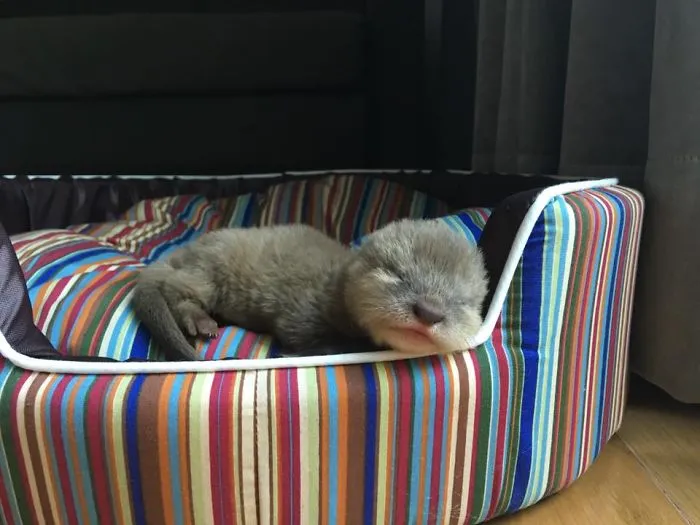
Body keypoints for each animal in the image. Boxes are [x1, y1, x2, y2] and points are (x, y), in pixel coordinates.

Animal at [131, 219, 488, 361]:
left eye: (462, 301)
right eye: (398, 274)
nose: (430, 311)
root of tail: (187, 250)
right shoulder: (301, 311)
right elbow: (303, 338)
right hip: (207, 272)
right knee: (176, 289)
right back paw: (200, 322)